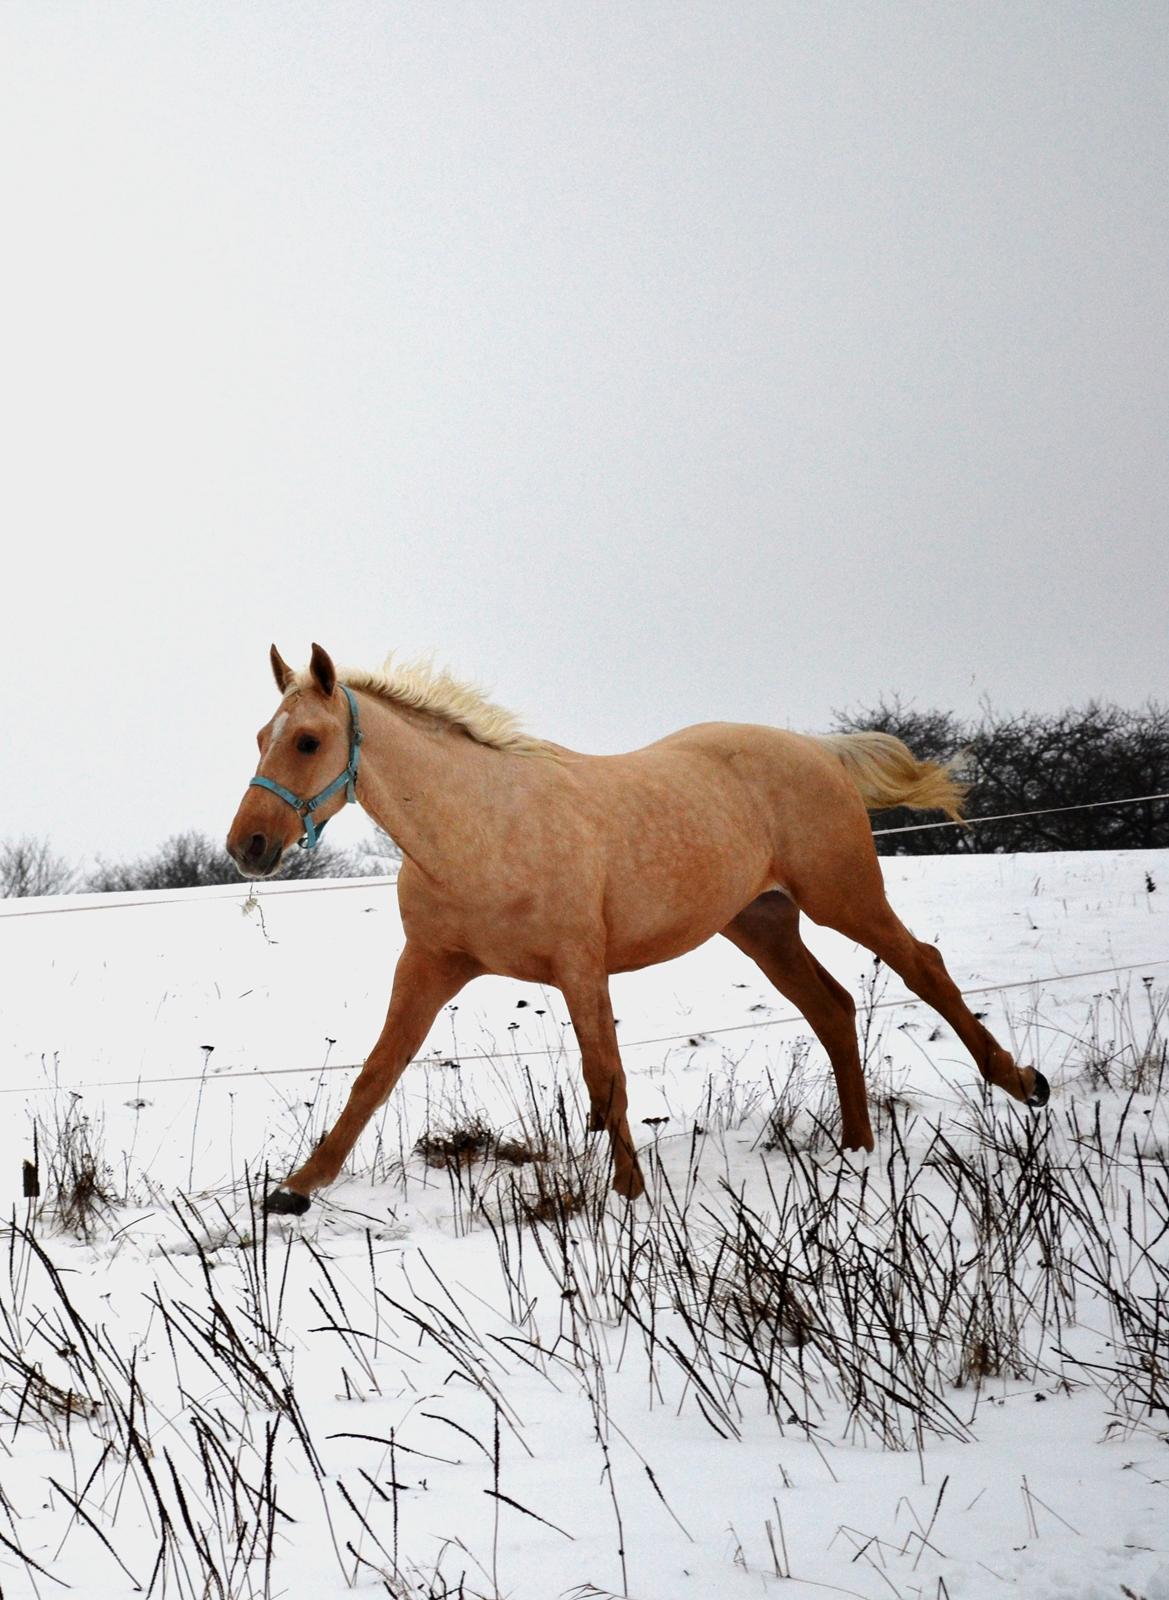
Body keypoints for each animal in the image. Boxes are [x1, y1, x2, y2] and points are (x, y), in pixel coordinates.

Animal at [228, 640, 1049, 1209]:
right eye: (260, 736)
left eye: (307, 741)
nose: (249, 847)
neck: (484, 831)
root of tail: (815, 749)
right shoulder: (431, 964)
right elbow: (375, 1074)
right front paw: (295, 1189)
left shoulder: (578, 965)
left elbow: (607, 1077)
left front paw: (627, 1195)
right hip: (763, 926)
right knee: (833, 1008)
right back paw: (856, 1148)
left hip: (842, 897)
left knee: (924, 966)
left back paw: (1021, 1083)